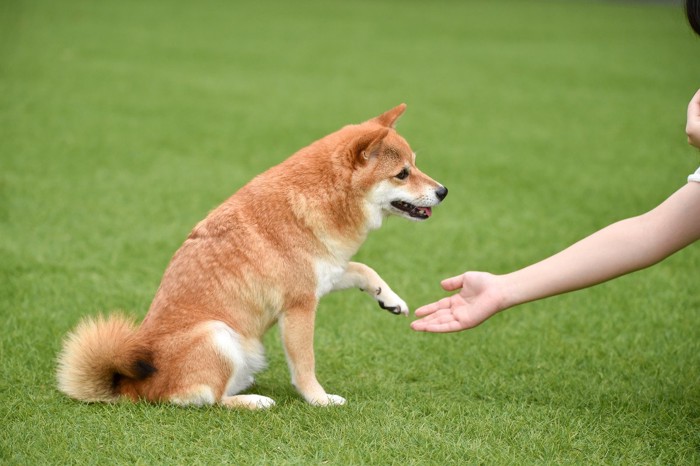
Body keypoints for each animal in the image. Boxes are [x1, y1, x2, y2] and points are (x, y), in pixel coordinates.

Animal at [57, 104, 446, 408]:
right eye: (402, 174)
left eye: (415, 165)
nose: (443, 190)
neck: (320, 197)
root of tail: (133, 385)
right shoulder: (300, 305)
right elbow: (305, 363)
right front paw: (319, 398)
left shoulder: (326, 274)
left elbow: (365, 269)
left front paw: (390, 298)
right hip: (218, 334)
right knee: (208, 399)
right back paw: (253, 401)